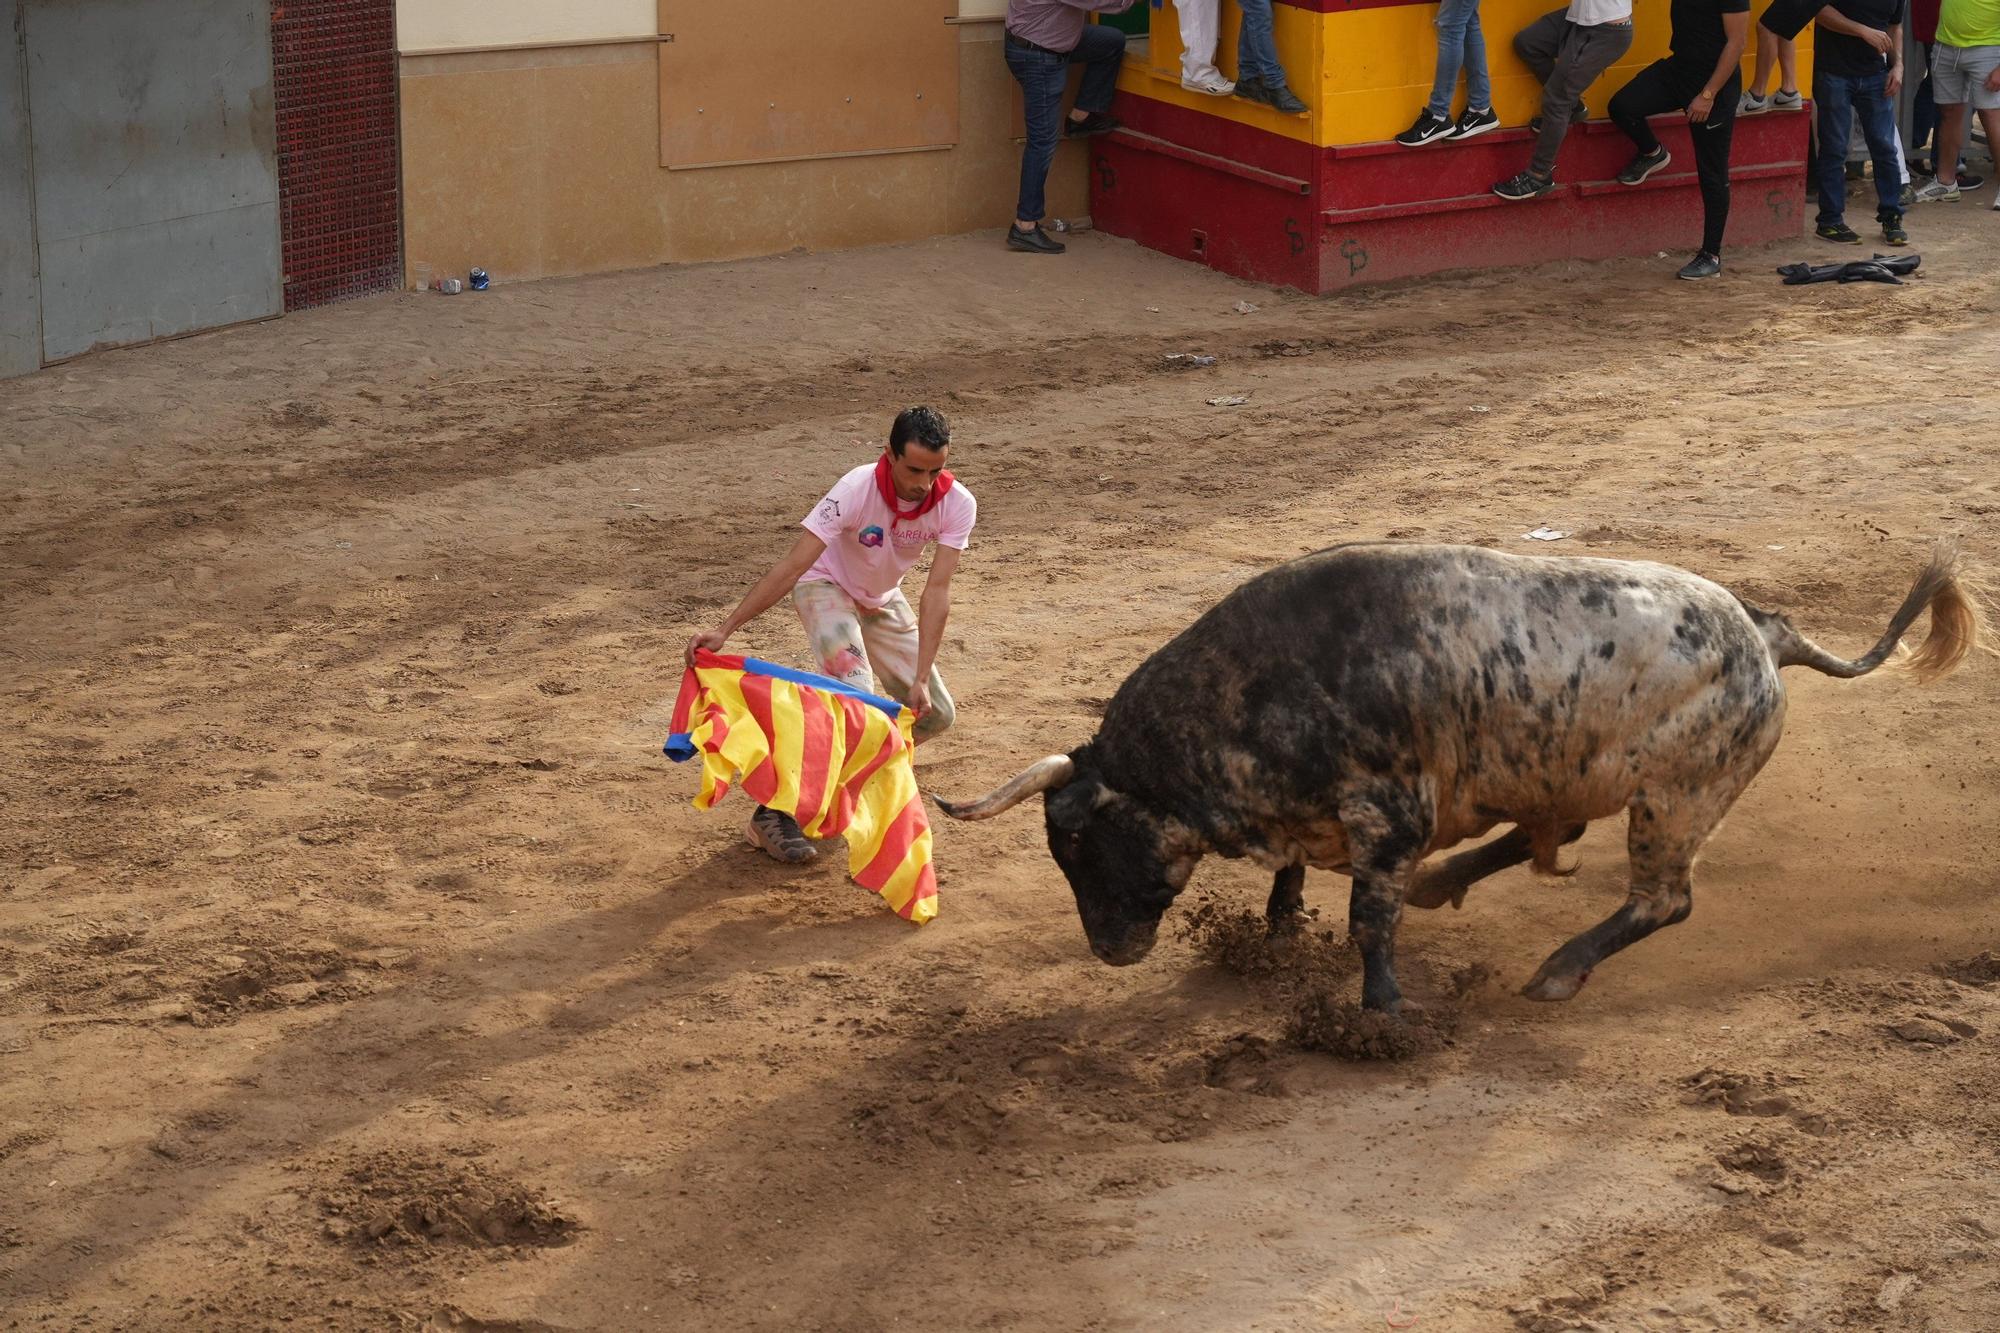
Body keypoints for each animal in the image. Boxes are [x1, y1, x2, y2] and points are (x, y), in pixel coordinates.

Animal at [940, 540, 1984, 1008]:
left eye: (1084, 844)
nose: (1109, 951)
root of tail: (1764, 634)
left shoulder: (1390, 814)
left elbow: (1371, 916)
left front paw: (1384, 1009)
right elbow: (1299, 875)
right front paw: (1280, 928)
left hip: (1678, 800)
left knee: (1663, 900)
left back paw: (1557, 969)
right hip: (1582, 779)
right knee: (1545, 834)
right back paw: (1453, 882)